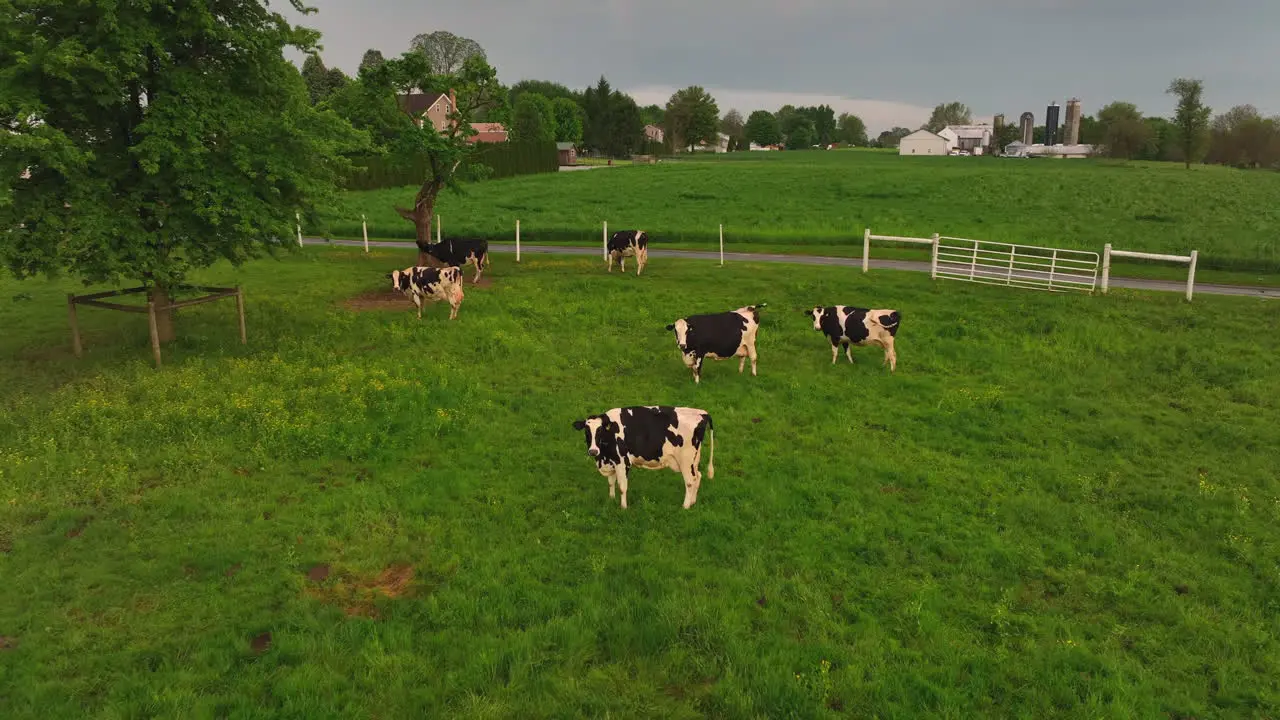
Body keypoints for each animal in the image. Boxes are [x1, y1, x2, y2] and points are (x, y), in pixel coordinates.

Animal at [573, 404, 716, 509]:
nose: (593, 451)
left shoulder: (622, 461)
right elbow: (611, 482)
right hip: (694, 459)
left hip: (686, 459)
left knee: (690, 481)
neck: (603, 456)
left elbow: (622, 486)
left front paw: (623, 507)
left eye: (600, 431)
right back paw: (692, 502)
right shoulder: (612, 460)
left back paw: (685, 506)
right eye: (586, 432)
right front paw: (611, 499)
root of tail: (701, 413)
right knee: (698, 476)